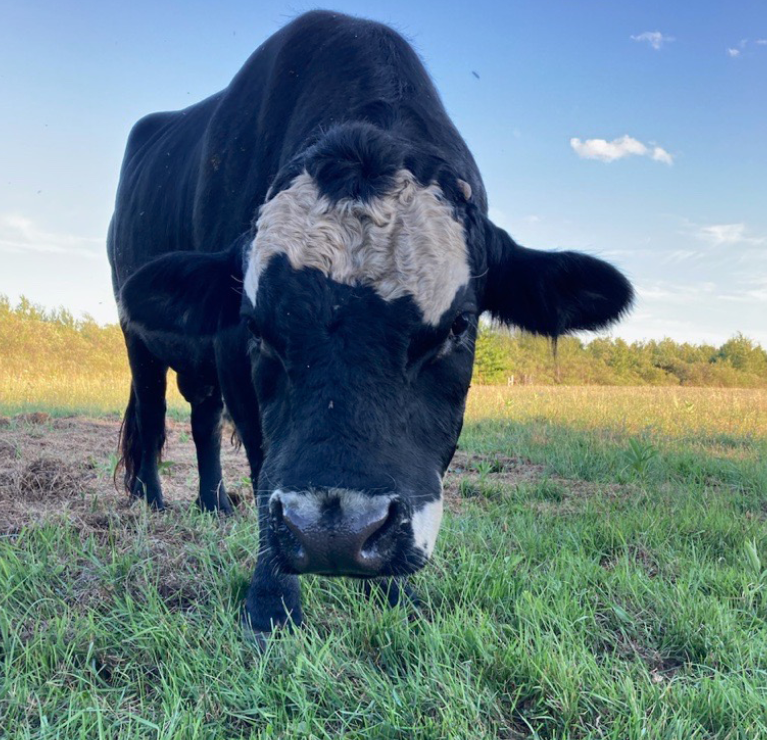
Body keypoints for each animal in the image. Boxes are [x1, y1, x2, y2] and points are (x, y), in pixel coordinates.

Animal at [108, 10, 633, 639]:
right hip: (137, 336)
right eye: (258, 328)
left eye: (458, 325)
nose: (334, 535)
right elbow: (261, 465)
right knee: (153, 412)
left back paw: (213, 503)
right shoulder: (232, 354)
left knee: (203, 417)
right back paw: (152, 497)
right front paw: (271, 605)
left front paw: (397, 593)